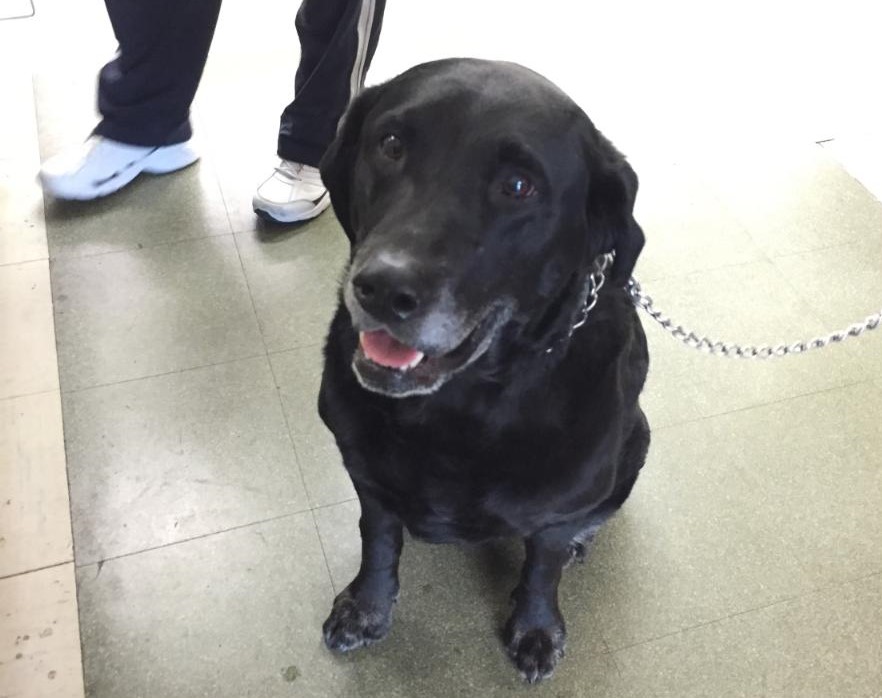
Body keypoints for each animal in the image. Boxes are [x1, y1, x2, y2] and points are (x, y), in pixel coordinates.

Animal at [316, 58, 648, 680]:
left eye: (518, 186)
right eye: (391, 145)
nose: (382, 288)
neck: (458, 405)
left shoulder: (560, 503)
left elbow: (543, 564)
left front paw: (537, 626)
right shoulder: (365, 475)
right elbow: (378, 540)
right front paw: (366, 606)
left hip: (638, 437)